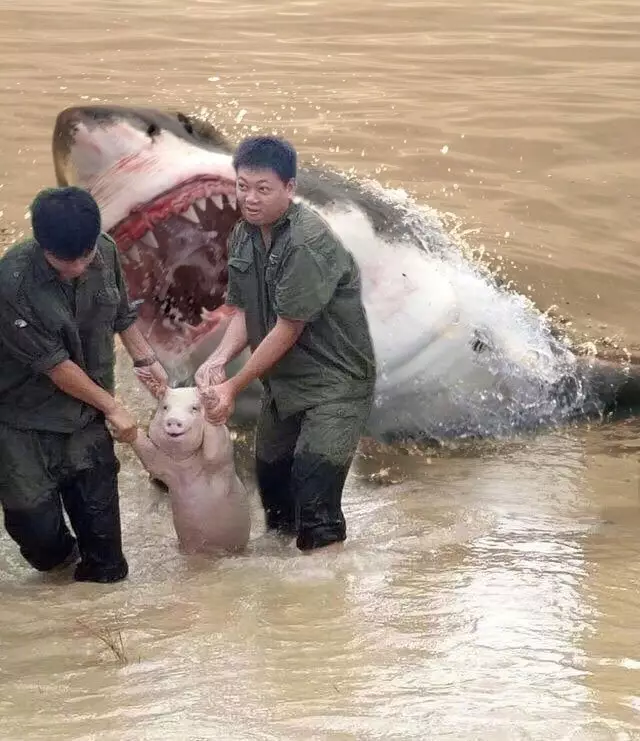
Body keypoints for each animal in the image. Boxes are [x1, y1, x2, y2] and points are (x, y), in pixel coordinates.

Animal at [129, 382, 250, 556]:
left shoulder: (222, 458)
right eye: (165, 407)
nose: (173, 420)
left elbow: (214, 452)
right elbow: (150, 458)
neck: (184, 467)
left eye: (194, 408)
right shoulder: (163, 466)